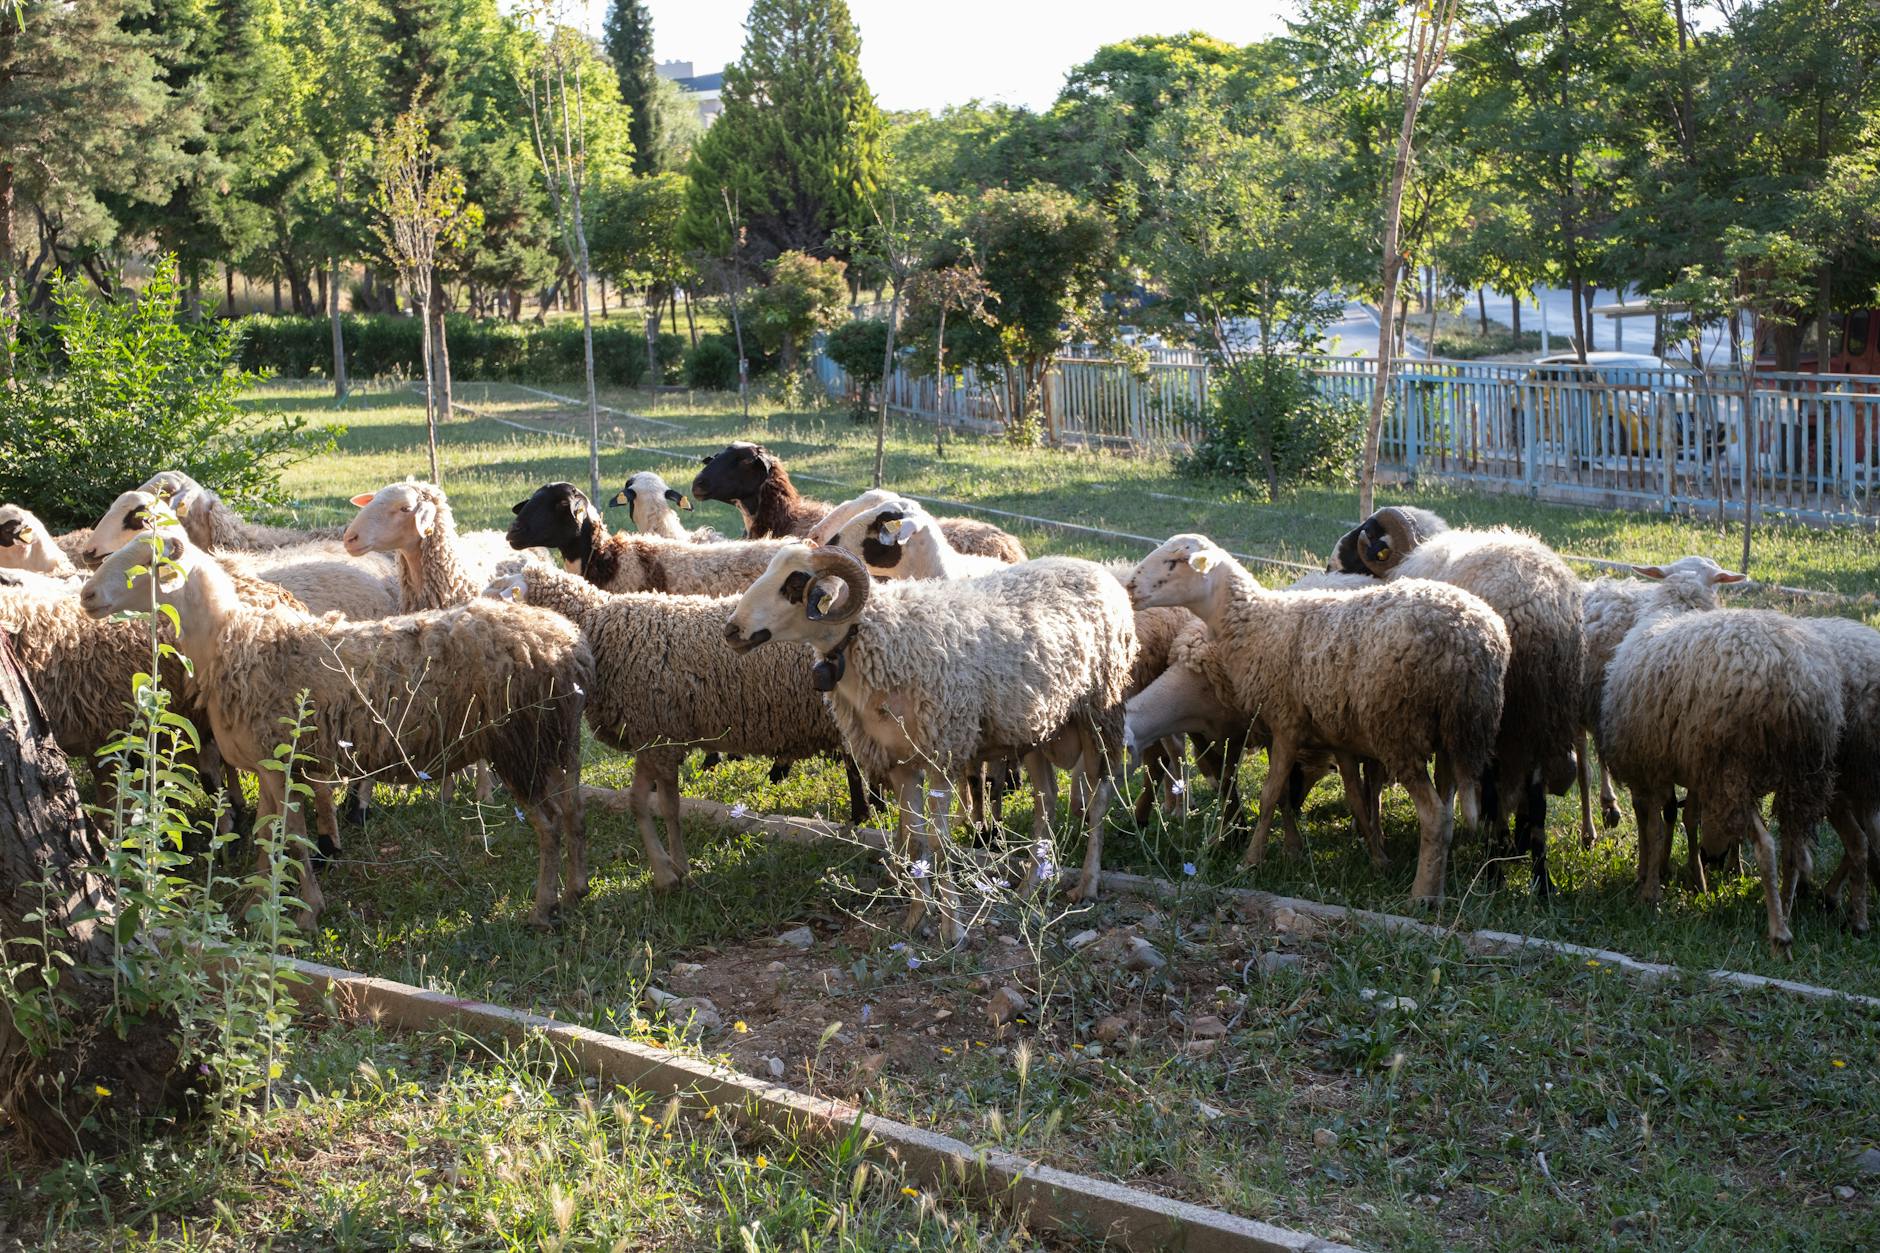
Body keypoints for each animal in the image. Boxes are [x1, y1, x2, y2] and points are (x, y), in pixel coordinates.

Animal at [79, 533, 593, 930]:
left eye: (147, 563)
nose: (86, 596)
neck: (236, 641)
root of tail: (566, 643)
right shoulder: (266, 765)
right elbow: (267, 835)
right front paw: (255, 904)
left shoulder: (282, 761)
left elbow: (293, 835)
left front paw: (306, 911)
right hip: (558, 738)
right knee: (572, 812)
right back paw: (575, 890)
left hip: (519, 741)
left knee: (548, 824)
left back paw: (542, 909)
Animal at [485, 562, 872, 886]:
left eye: (496, 593)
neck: (599, 627)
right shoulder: (654, 736)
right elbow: (648, 803)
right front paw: (670, 870)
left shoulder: (661, 737)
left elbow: (660, 805)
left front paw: (672, 870)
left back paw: (865, 816)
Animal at [725, 545, 1138, 934]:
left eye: (795, 583)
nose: (731, 631)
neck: (878, 636)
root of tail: (1098, 570)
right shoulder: (898, 762)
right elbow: (915, 839)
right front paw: (915, 919)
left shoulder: (942, 752)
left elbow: (940, 842)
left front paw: (952, 928)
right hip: (1037, 726)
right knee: (1046, 801)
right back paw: (1029, 887)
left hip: (1100, 711)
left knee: (1099, 798)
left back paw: (1087, 885)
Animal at [1128, 534, 1511, 905]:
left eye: (1174, 561)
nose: (1130, 586)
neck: (1259, 624)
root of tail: (1472, 641)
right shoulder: (1334, 733)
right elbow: (1353, 797)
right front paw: (1376, 858)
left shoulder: (1284, 723)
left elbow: (1270, 795)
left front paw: (1250, 861)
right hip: (1453, 736)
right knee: (1447, 813)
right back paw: (1439, 890)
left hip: (1399, 731)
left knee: (1434, 816)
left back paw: (1421, 898)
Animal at [1343, 508, 1585, 899]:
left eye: (1365, 538)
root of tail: (1538, 614)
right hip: (1539, 714)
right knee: (1536, 798)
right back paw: (1541, 881)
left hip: (1491, 715)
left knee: (1492, 788)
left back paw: (1493, 871)